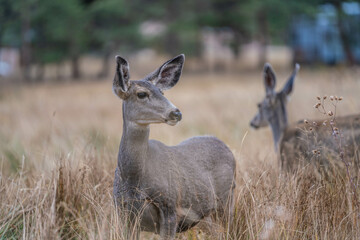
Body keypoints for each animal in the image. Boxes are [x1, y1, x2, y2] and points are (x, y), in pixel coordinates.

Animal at [112, 53, 236, 239]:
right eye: (141, 94)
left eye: (162, 92)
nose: (176, 112)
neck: (134, 180)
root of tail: (225, 146)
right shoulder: (123, 213)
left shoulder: (170, 207)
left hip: (226, 199)